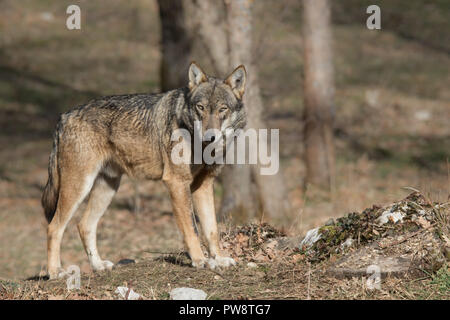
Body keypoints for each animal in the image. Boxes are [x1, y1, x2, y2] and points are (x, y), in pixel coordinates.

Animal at [41, 61, 246, 278]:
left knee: (84, 225)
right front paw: (201, 261)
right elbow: (192, 229)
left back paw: (98, 266)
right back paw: (55, 272)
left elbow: (211, 229)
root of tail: (64, 117)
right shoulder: (177, 183)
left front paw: (219, 258)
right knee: (54, 227)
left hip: (107, 189)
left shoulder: (203, 184)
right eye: (201, 108)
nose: (210, 136)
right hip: (80, 187)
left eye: (222, 109)